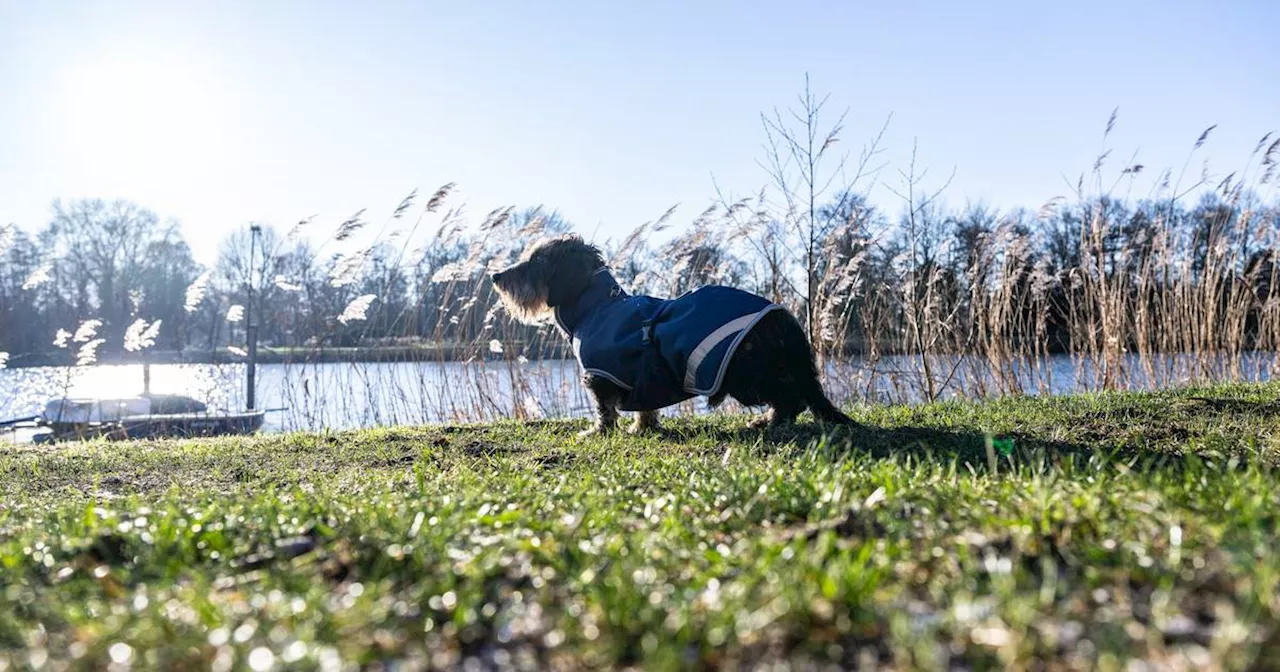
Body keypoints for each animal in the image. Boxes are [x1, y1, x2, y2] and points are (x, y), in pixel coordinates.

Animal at [491, 234, 860, 435]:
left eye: (535, 262)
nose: (495, 276)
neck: (597, 305)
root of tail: (784, 316)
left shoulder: (599, 376)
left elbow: (604, 410)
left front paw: (597, 432)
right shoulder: (641, 381)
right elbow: (645, 408)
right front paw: (642, 428)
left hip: (746, 376)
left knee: (792, 400)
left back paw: (769, 423)